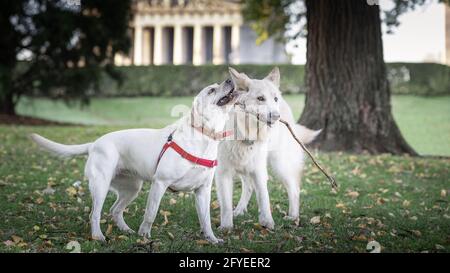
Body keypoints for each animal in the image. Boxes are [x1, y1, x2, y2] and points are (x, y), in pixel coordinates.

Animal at [30, 78, 237, 242]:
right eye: (211, 90)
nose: (229, 79)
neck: (205, 136)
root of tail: (94, 144)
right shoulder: (160, 183)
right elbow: (151, 214)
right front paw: (144, 236)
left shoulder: (203, 190)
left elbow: (206, 219)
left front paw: (212, 239)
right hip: (101, 185)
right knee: (94, 213)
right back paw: (98, 236)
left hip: (131, 188)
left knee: (115, 210)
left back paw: (126, 230)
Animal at [215, 67, 318, 228]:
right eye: (260, 98)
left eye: (274, 99)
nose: (277, 116)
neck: (245, 132)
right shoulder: (223, 172)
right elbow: (225, 205)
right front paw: (226, 227)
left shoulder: (258, 169)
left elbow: (264, 198)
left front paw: (268, 223)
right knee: (249, 187)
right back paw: (239, 210)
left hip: (280, 164)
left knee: (294, 189)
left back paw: (293, 216)